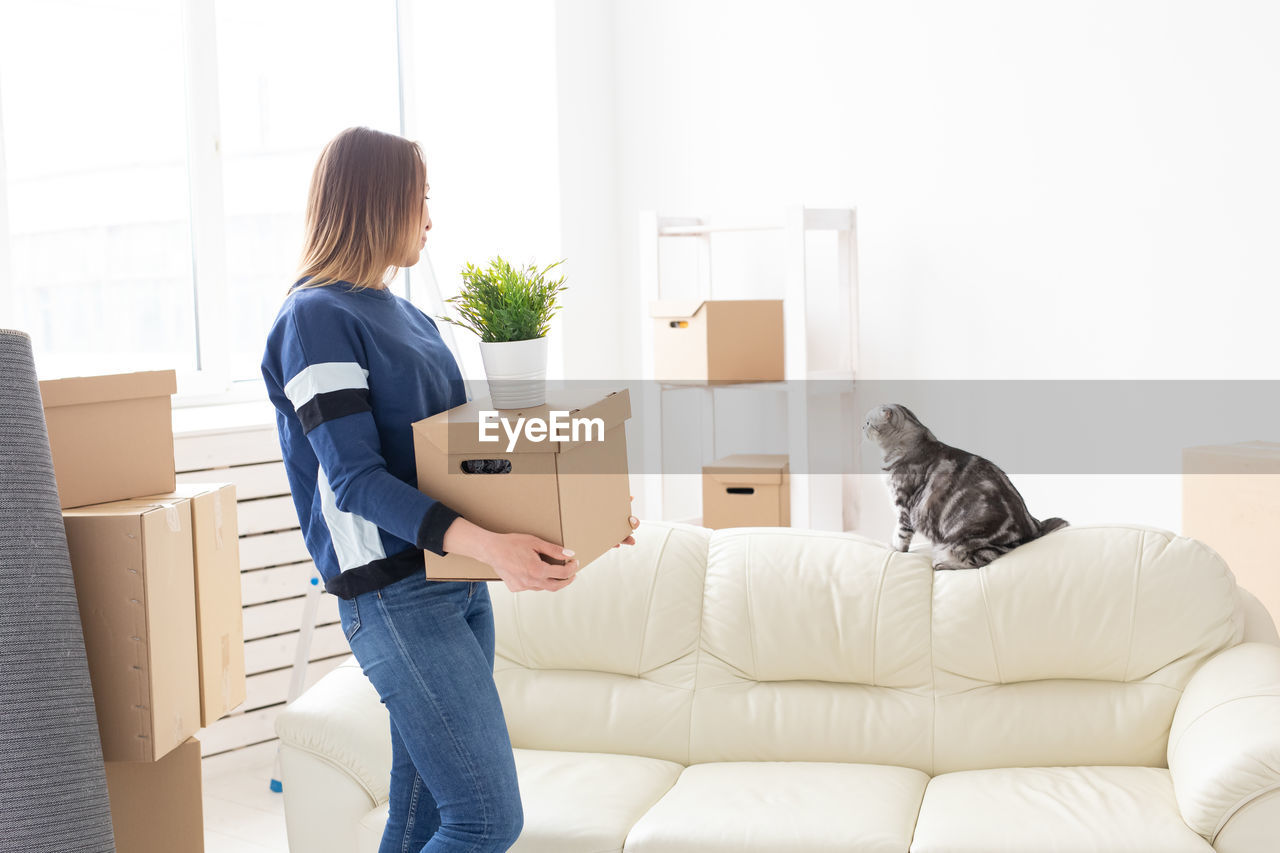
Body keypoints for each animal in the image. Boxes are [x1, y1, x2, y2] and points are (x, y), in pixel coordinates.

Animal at [860, 402, 1070, 568]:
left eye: (868, 423)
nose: (861, 426)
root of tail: (1034, 524)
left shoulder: (903, 505)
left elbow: (901, 535)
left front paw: (895, 549)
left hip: (968, 541)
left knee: (976, 562)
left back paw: (942, 564)